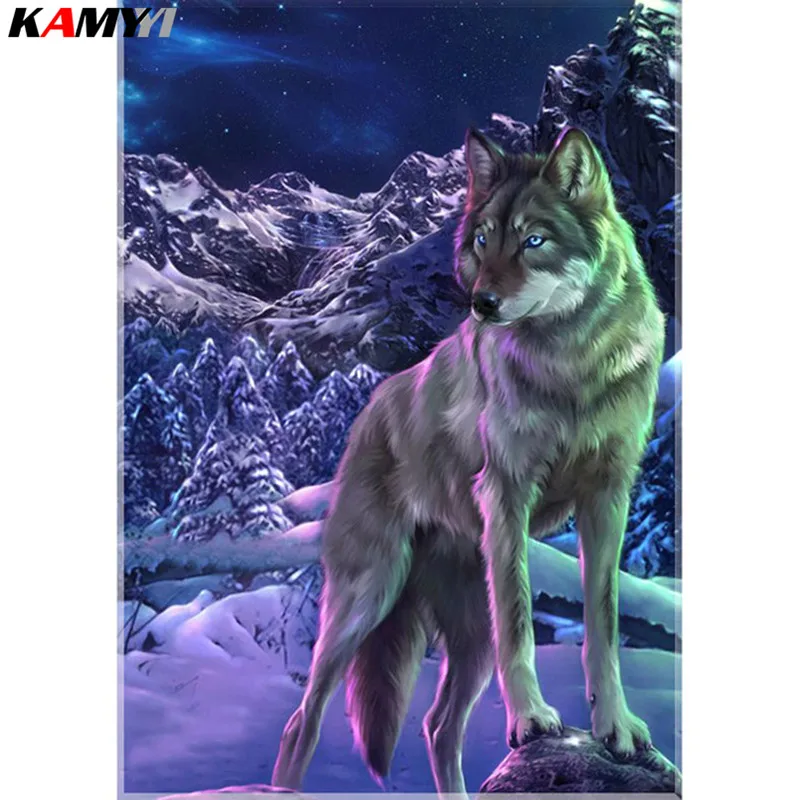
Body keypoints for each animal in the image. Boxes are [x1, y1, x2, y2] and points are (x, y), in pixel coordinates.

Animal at [272, 127, 665, 797]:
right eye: (483, 239)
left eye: (533, 240)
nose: (481, 304)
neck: (571, 364)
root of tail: (366, 413)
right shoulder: (506, 493)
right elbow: (522, 625)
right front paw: (531, 717)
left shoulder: (608, 498)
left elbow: (604, 624)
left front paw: (618, 727)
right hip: (366, 599)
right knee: (303, 721)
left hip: (466, 633)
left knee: (437, 725)